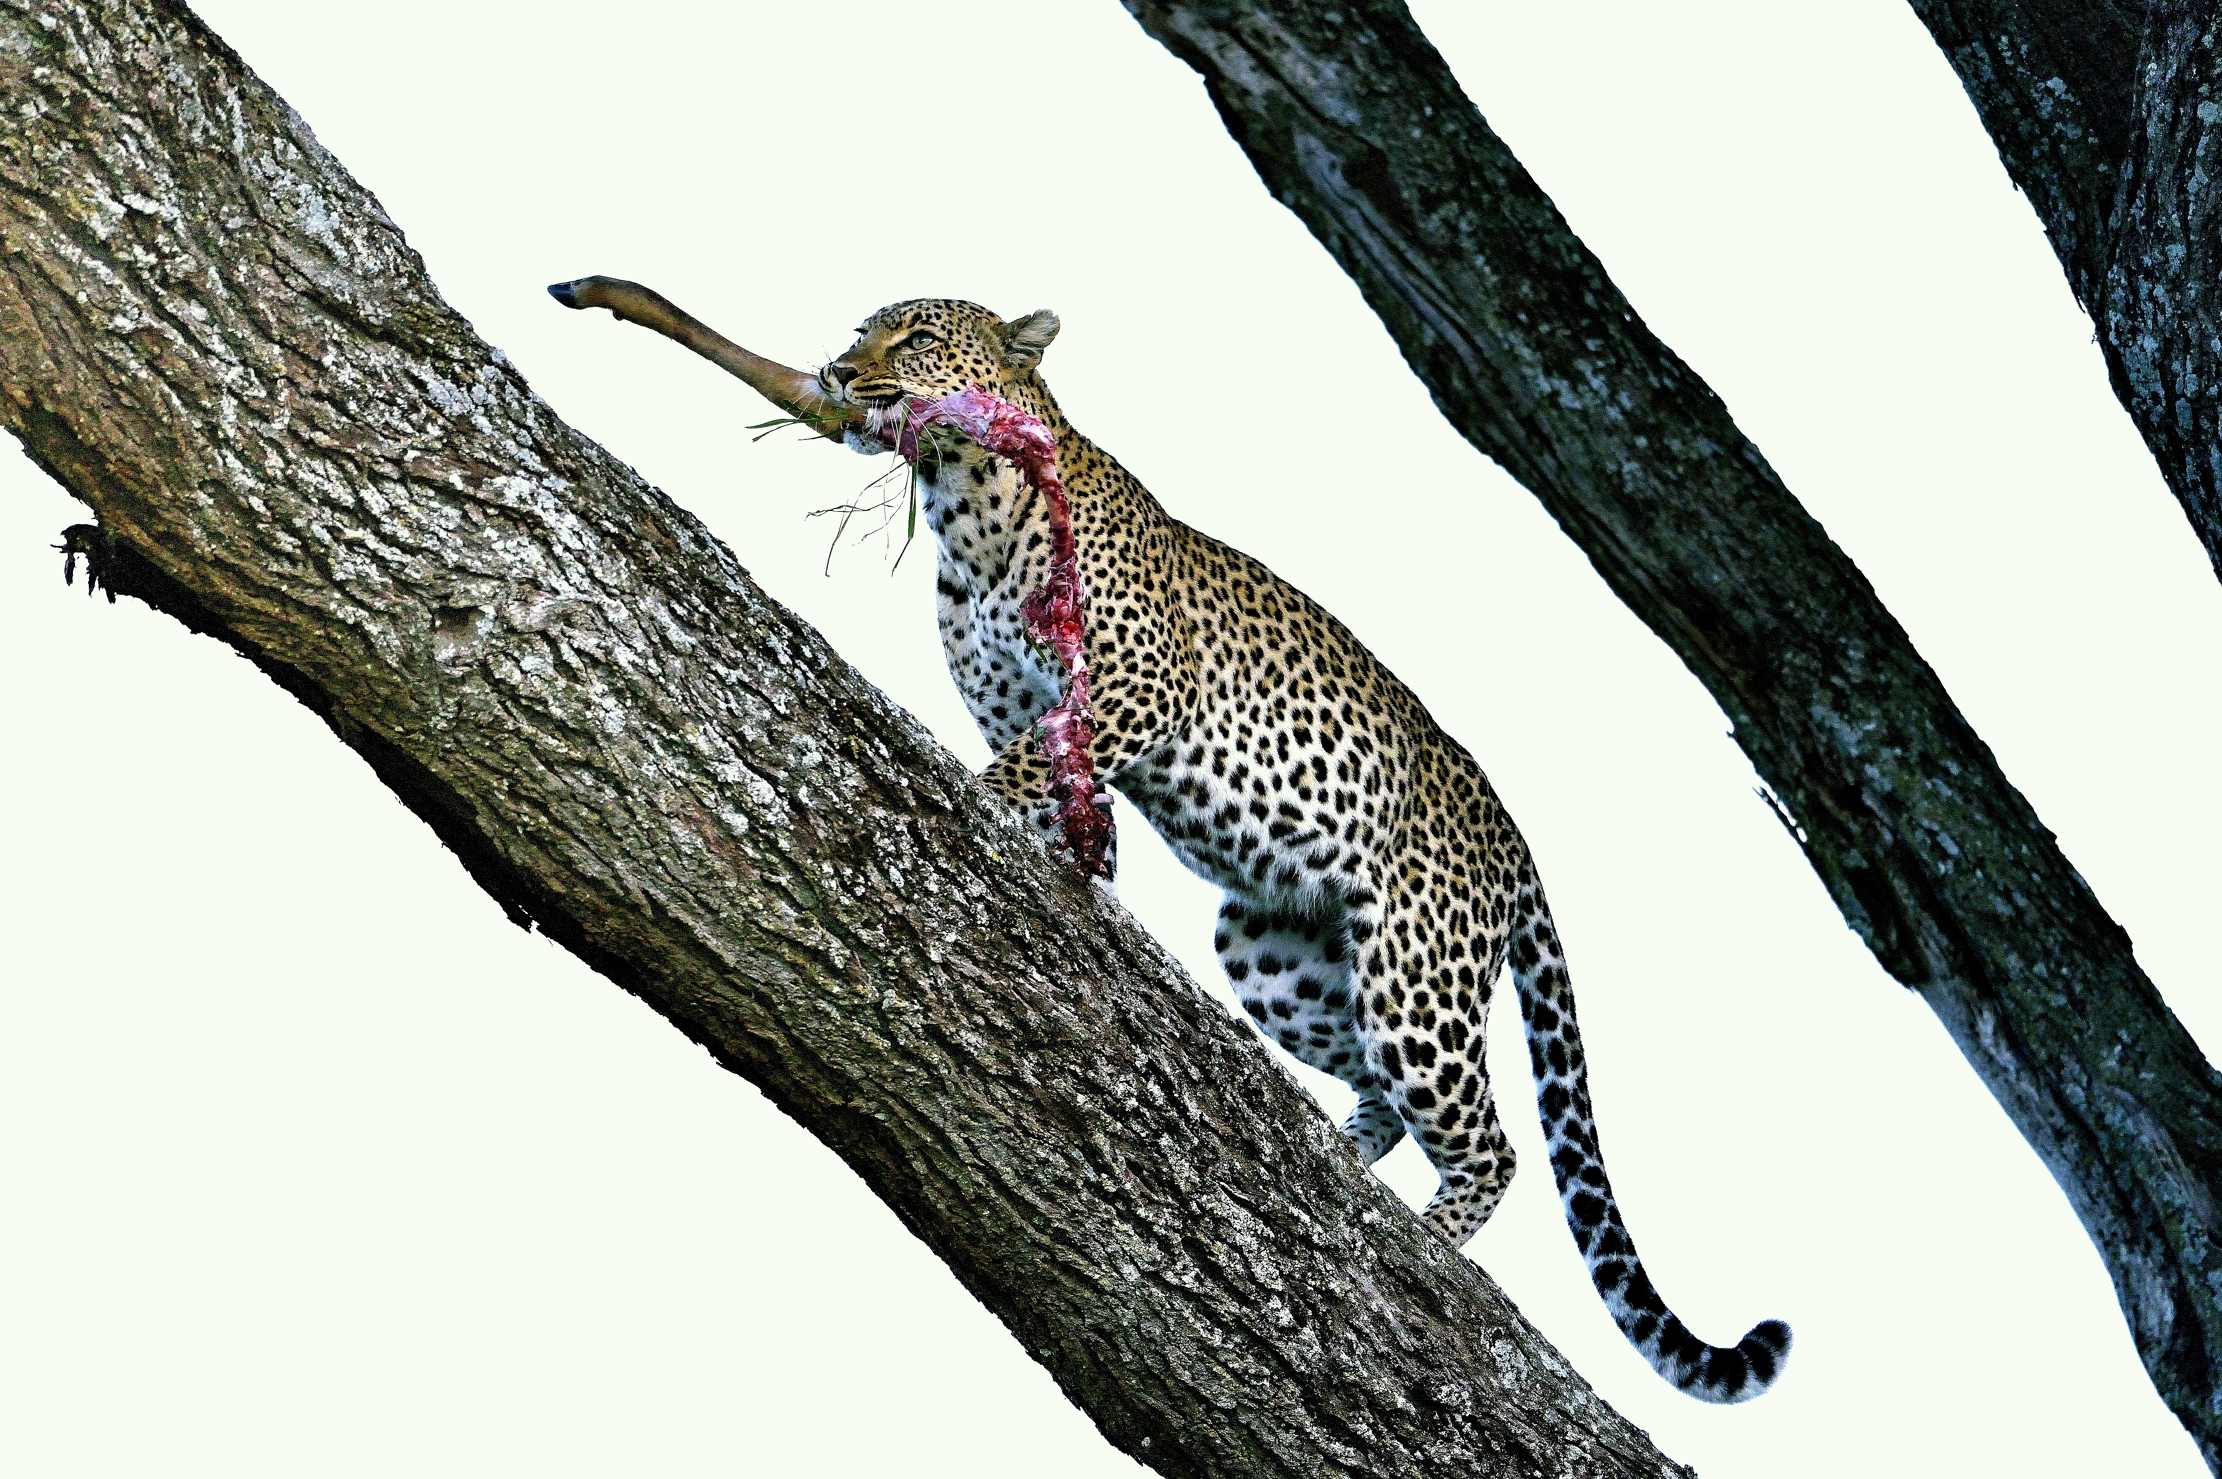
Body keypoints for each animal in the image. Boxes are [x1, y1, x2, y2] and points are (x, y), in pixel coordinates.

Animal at [812, 297, 1790, 1404]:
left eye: (914, 338)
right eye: (864, 332)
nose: (834, 371)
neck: (963, 509)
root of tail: (1514, 840)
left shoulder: (1133, 690)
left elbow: (1013, 774)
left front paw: (971, 800)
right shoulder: (1026, 712)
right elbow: (1056, 804)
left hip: (1416, 976)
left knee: (1489, 1142)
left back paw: (1426, 1238)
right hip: (1274, 951)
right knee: (1382, 1094)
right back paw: (1346, 1170)